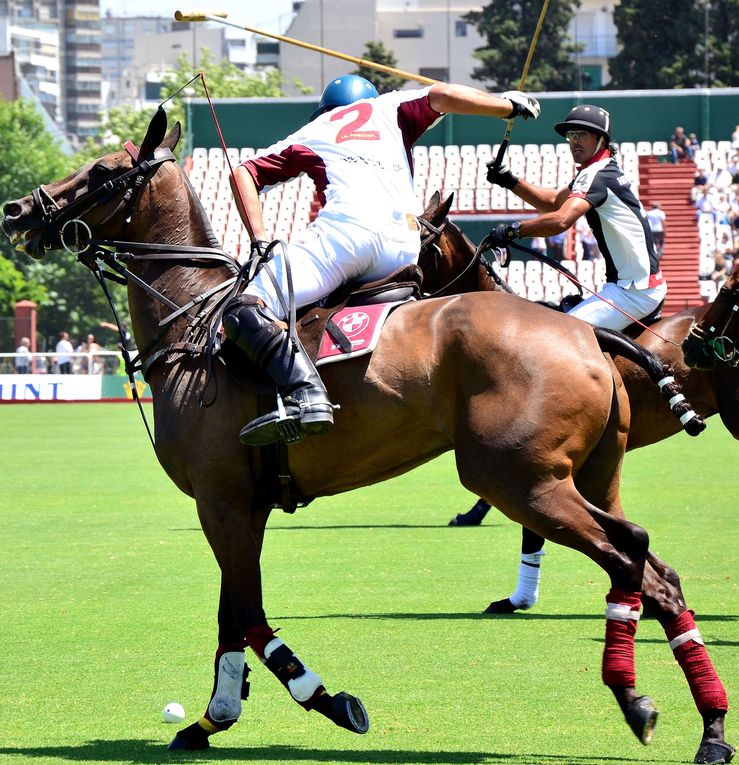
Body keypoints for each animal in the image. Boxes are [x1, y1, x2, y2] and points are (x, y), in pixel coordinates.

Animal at [2, 112, 736, 764]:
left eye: (102, 172)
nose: (17, 209)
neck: (193, 325)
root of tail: (588, 332)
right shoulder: (242, 504)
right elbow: (233, 613)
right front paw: (211, 718)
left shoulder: (221, 501)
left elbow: (248, 611)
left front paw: (314, 699)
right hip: (590, 474)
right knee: (657, 574)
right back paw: (710, 729)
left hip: (519, 477)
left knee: (626, 552)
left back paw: (633, 697)